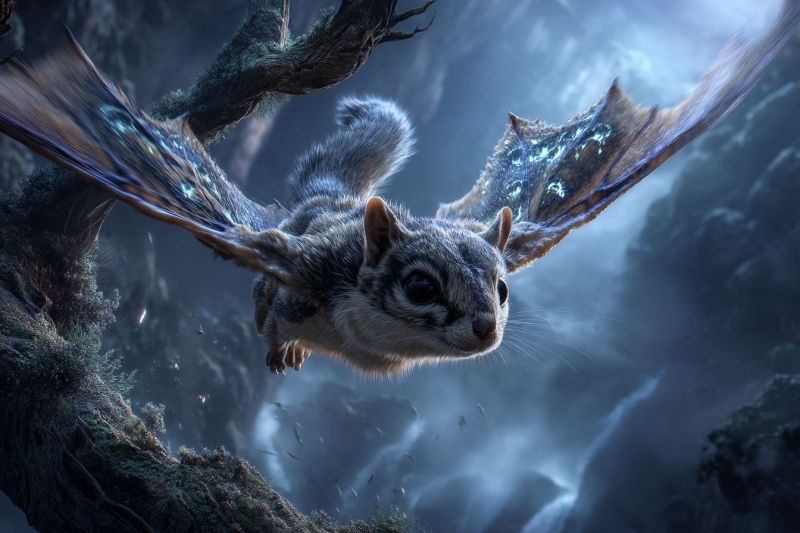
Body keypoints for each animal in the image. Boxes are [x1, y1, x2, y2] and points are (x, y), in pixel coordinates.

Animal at [0, 0, 797, 375]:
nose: (487, 329)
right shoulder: (295, 269)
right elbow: (270, 292)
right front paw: (279, 345)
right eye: (419, 286)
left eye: (503, 286)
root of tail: (334, 202)